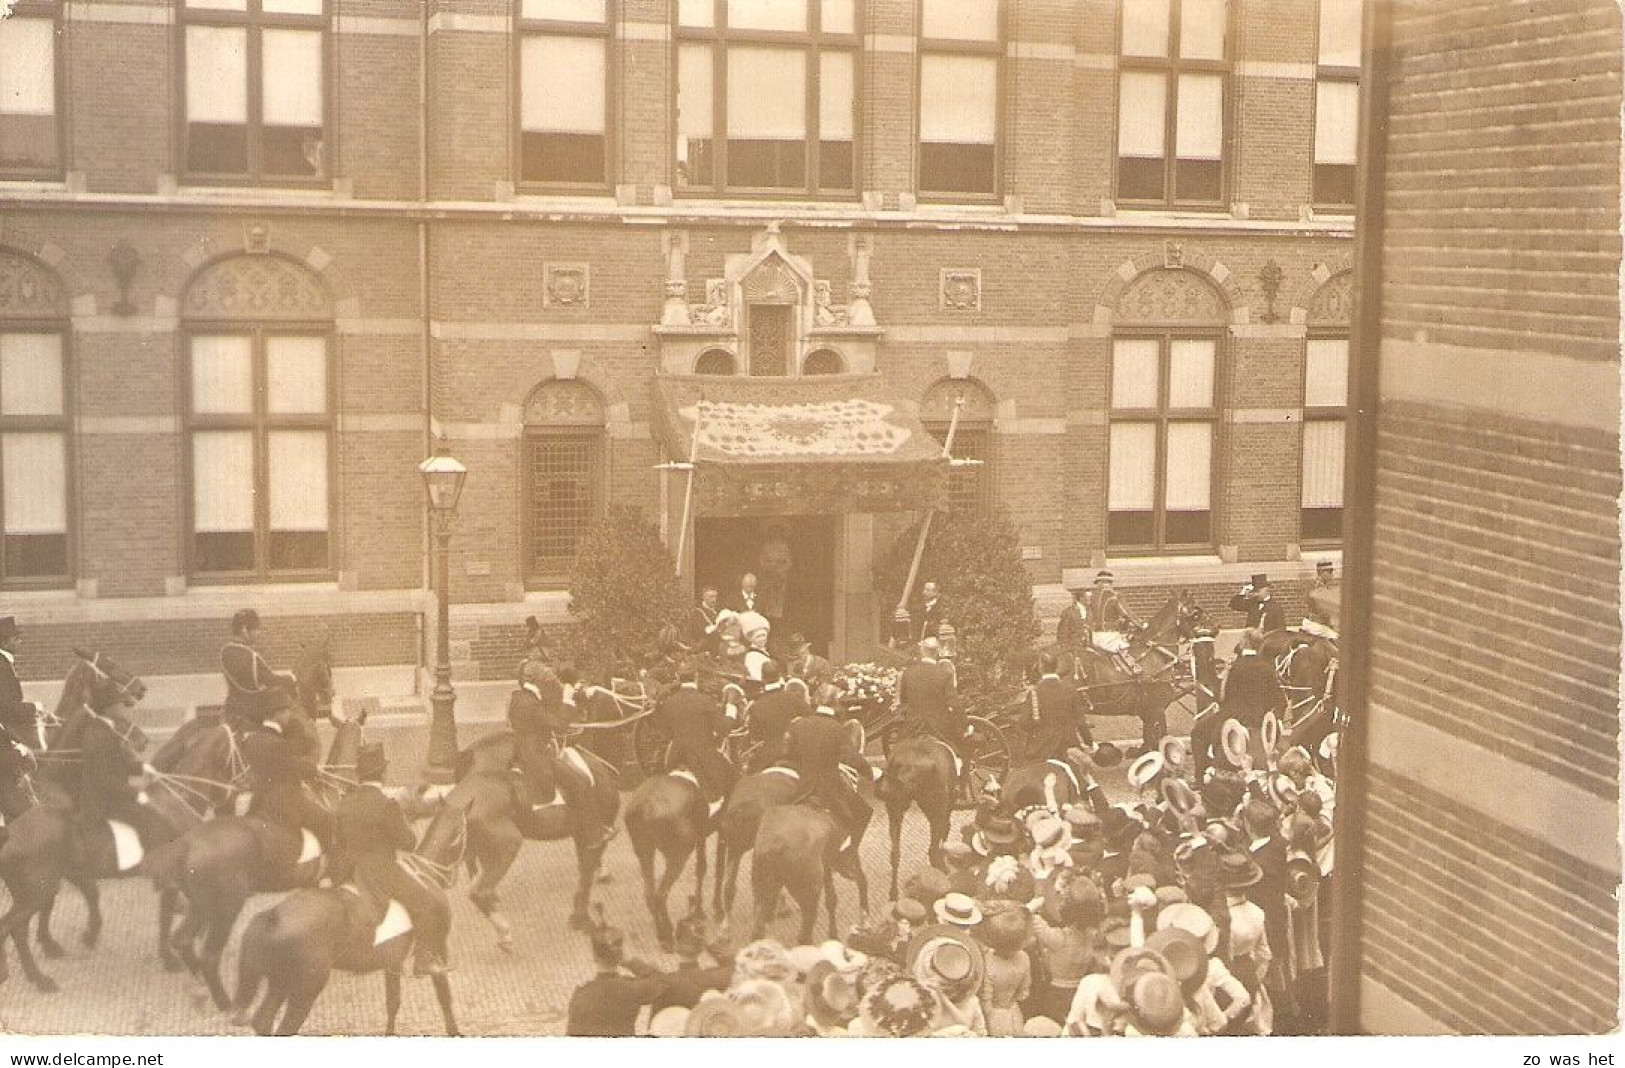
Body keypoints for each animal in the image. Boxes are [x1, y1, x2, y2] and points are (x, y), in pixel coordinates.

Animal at [0, 650, 151, 988]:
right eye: (107, 667)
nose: (140, 688)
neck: (55, 781)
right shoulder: (64, 863)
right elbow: (71, 894)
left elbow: (56, 900)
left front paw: (48, 942)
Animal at [148, 708, 365, 1007]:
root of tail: (188, 847)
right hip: (225, 909)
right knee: (207, 953)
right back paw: (224, 1001)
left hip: (202, 906)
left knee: (182, 938)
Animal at [232, 803, 468, 1040]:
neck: (426, 873)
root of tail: (272, 917)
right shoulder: (437, 954)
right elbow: (445, 999)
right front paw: (455, 1031)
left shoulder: (392, 964)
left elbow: (393, 1003)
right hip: (304, 990)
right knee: (285, 1027)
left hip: (280, 983)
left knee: (263, 1022)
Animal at [438, 725, 620, 942]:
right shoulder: (591, 832)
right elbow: (586, 874)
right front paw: (580, 918)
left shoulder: (583, 834)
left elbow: (587, 868)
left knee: (472, 862)